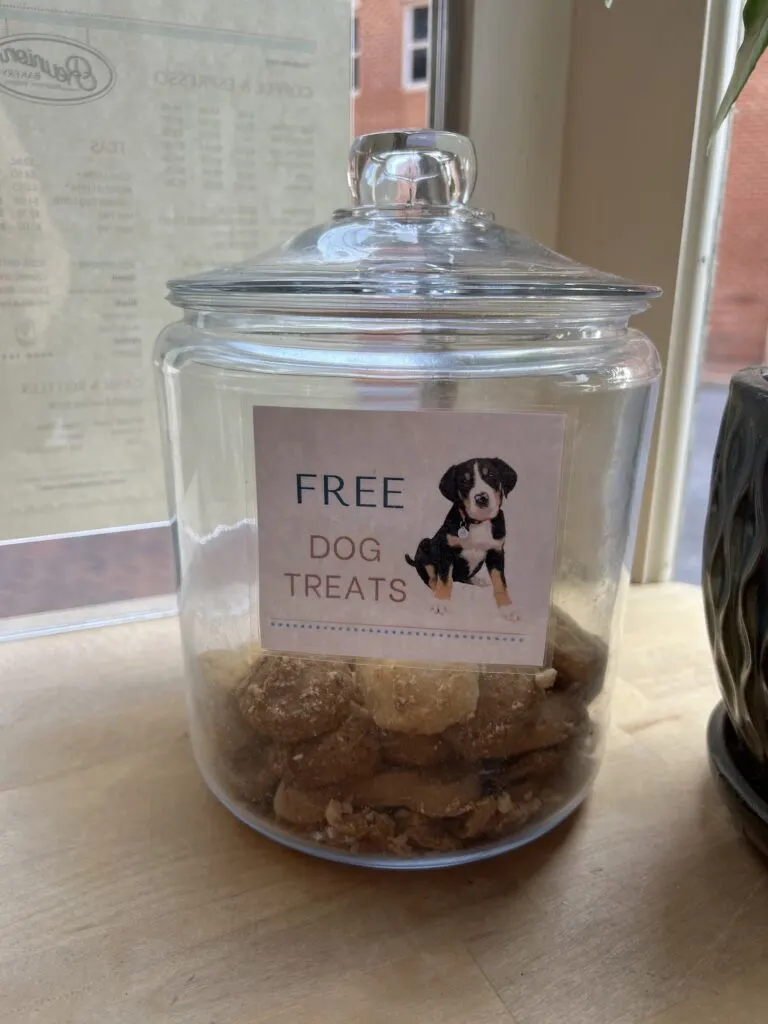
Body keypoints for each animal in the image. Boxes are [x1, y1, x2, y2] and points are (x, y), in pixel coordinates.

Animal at [405, 456, 520, 614]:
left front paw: (507, 607)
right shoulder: (446, 550)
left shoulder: (497, 551)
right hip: (424, 545)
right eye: (464, 481)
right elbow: (444, 577)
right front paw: (442, 600)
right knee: (432, 578)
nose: (481, 498)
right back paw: (435, 591)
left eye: (491, 475)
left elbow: (500, 581)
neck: (477, 522)